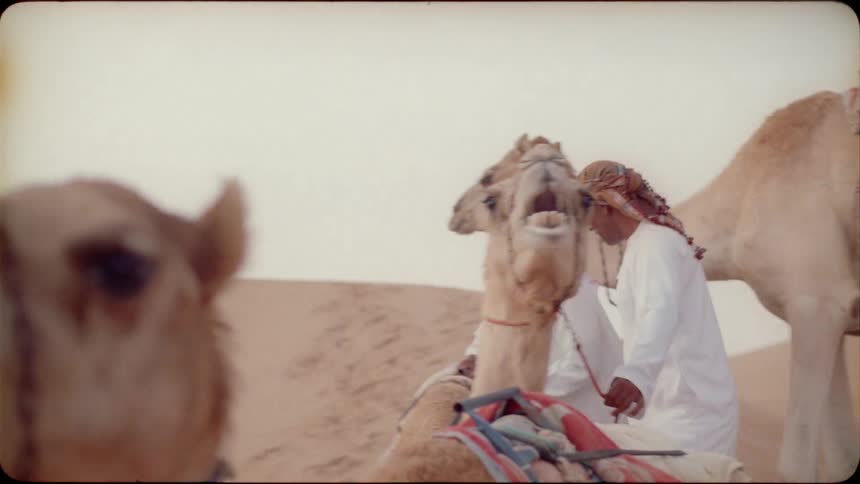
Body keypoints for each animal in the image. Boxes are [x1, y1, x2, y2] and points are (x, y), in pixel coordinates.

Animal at [447, 87, 860, 482]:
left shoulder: (815, 303)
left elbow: (797, 466)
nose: (454, 211)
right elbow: (842, 459)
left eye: (488, 179)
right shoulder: (827, 317)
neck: (741, 203)